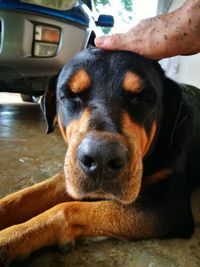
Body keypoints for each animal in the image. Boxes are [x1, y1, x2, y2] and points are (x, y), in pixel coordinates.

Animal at [0, 48, 200, 266]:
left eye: (142, 98)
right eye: (71, 95)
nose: (101, 157)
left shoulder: (168, 208)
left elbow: (66, 209)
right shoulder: (70, 172)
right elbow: (22, 197)